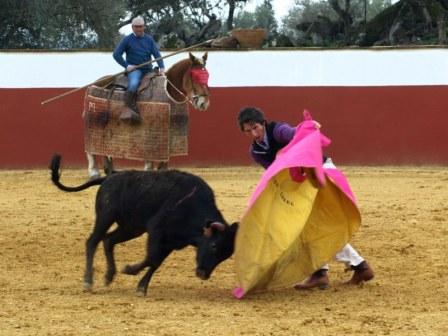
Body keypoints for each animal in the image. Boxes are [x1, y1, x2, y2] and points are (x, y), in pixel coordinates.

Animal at [50, 154, 238, 296]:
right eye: (213, 245)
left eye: (225, 255)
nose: (203, 274)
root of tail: (110, 176)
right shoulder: (156, 230)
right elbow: (152, 258)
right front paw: (129, 270)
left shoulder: (171, 242)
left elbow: (156, 262)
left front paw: (141, 287)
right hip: (106, 216)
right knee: (93, 241)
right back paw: (88, 281)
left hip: (131, 227)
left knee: (109, 240)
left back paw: (109, 275)